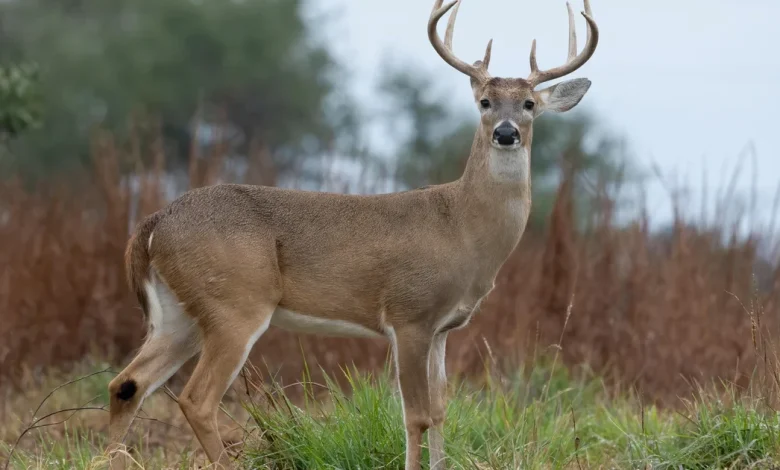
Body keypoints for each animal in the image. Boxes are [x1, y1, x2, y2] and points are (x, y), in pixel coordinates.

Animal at [105, 0, 599, 468]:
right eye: (485, 102)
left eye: (529, 104)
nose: (506, 132)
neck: (461, 227)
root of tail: (154, 223)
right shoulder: (409, 314)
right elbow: (416, 415)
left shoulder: (443, 328)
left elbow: (441, 411)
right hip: (234, 304)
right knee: (196, 399)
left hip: (180, 313)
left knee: (127, 383)